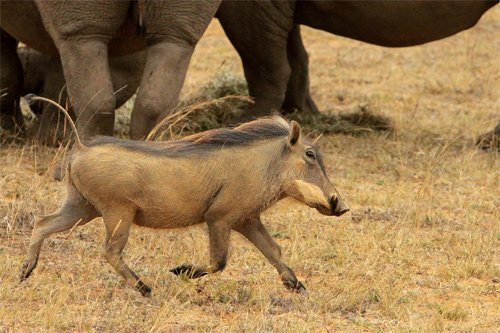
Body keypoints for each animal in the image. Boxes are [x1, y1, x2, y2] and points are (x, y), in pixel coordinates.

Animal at [0, 0, 219, 139]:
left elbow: (7, 70)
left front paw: (9, 134)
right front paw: (13, 132)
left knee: (79, 42)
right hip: (178, 32)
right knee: (173, 43)